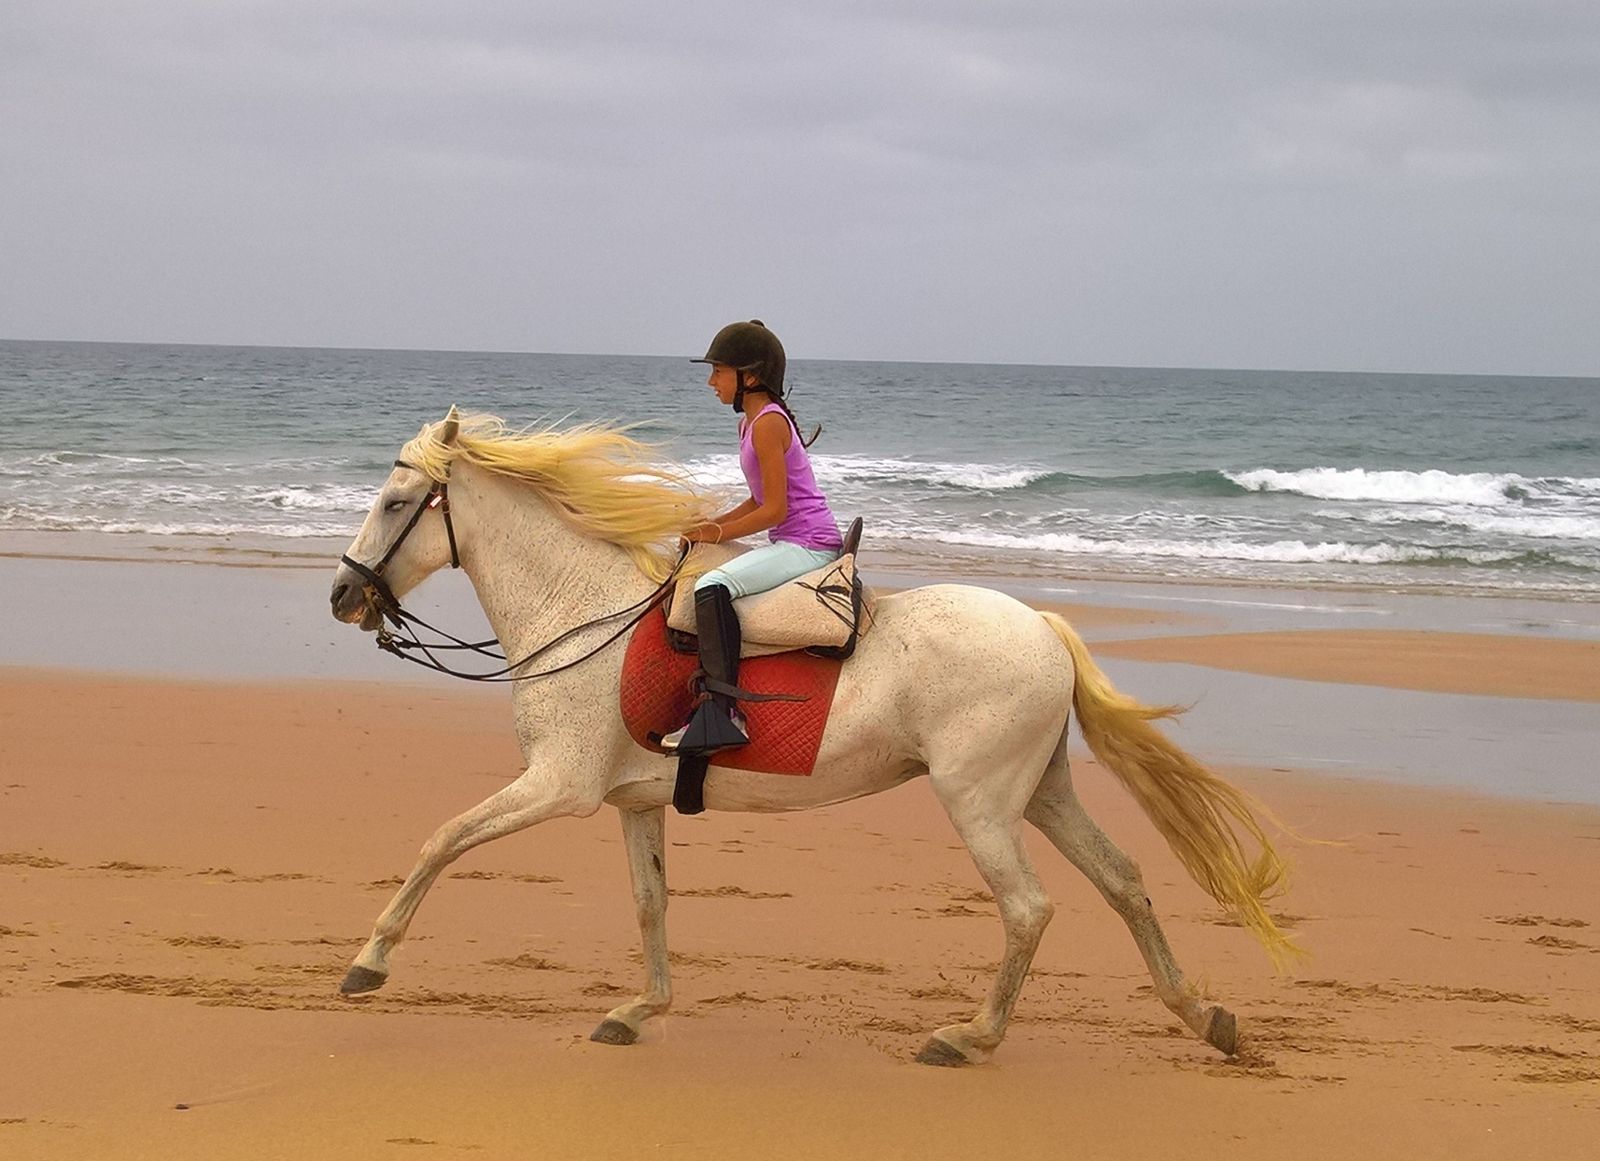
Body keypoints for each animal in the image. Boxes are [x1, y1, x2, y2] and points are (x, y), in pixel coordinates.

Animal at [328, 409, 1294, 1066]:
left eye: (396, 500)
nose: (342, 596)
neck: (581, 611)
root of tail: (1043, 628)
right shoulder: (633, 802)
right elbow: (650, 902)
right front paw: (639, 1009)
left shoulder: (557, 786)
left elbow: (443, 839)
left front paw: (368, 962)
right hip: (1042, 789)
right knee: (1123, 881)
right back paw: (1203, 1015)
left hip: (980, 800)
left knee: (1028, 907)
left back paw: (969, 1036)